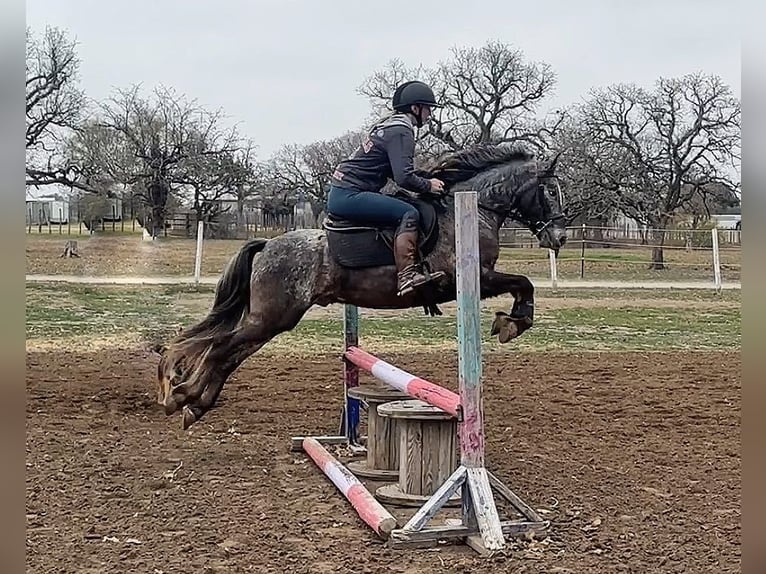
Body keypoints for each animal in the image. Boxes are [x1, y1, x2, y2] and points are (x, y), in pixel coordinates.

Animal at [153, 144, 568, 432]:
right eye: (549, 192)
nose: (560, 238)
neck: (468, 209)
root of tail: (268, 244)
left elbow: (523, 285)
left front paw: (511, 322)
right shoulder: (471, 277)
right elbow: (524, 283)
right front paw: (512, 323)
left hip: (272, 321)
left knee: (228, 352)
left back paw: (194, 404)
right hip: (272, 317)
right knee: (218, 347)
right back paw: (183, 396)